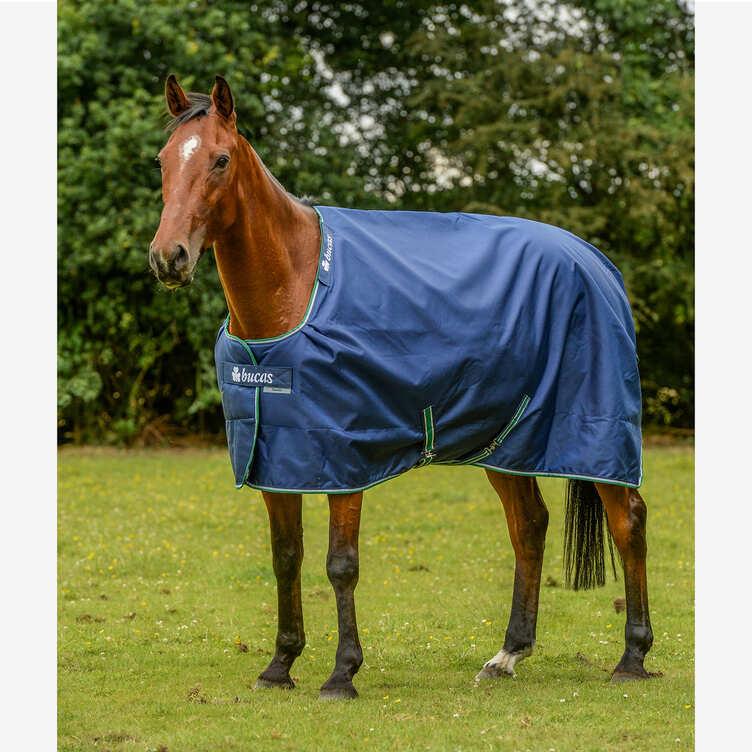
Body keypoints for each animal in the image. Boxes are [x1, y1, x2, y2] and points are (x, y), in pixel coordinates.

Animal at [149, 75, 655, 700]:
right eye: (163, 160)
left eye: (220, 160)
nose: (168, 257)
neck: (296, 287)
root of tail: (598, 263)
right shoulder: (276, 454)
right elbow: (285, 556)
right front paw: (280, 665)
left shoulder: (342, 457)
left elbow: (340, 564)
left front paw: (342, 673)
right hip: (506, 439)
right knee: (530, 526)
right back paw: (507, 654)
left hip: (595, 434)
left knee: (627, 520)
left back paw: (632, 656)